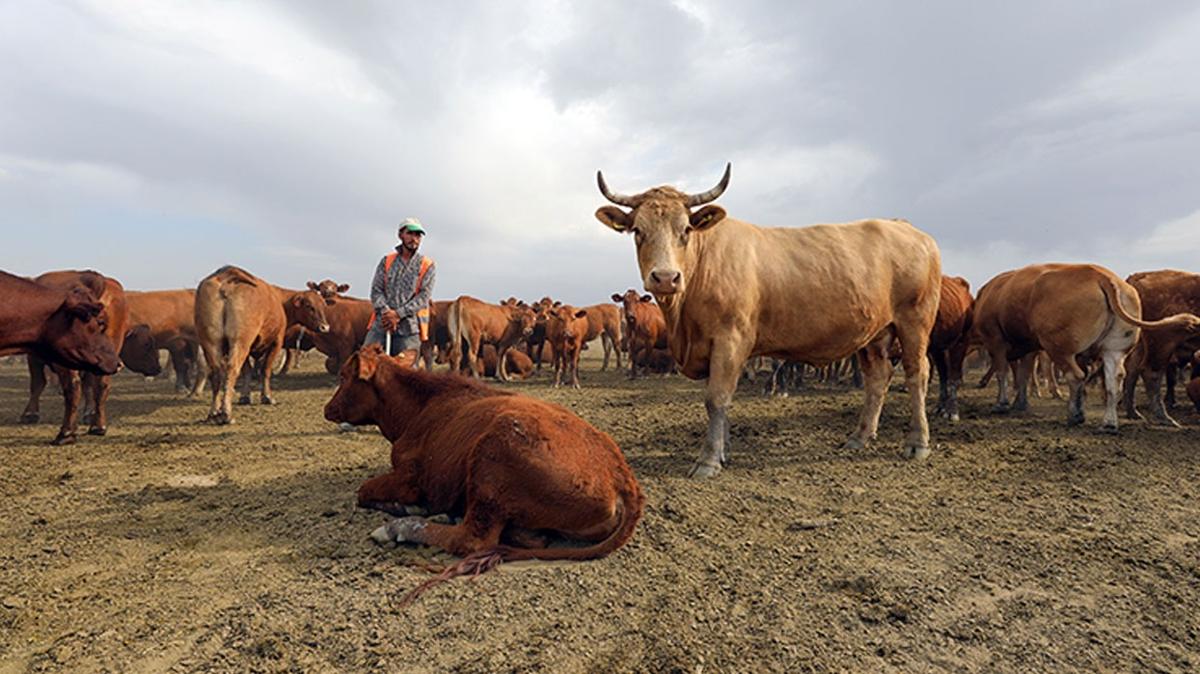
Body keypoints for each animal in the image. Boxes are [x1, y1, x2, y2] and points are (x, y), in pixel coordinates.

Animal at [195, 265, 331, 422]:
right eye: (309, 306)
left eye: (323, 305)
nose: (325, 327)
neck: (280, 301)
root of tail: (226, 277)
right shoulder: (276, 343)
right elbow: (265, 370)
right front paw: (267, 397)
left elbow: (248, 371)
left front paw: (245, 397)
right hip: (240, 342)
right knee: (231, 369)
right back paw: (226, 413)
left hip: (210, 343)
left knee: (216, 373)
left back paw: (214, 412)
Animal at [326, 345, 648, 597]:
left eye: (343, 376)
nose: (327, 409)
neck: (419, 407)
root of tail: (622, 476)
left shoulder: (411, 479)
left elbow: (364, 491)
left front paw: (405, 508)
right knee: (530, 538)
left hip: (492, 461)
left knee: (471, 539)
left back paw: (400, 527)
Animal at [595, 163, 940, 477]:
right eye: (638, 231)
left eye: (686, 230)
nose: (666, 278)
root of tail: (909, 230)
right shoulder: (711, 345)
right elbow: (720, 399)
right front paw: (724, 451)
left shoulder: (731, 340)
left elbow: (716, 398)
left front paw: (708, 461)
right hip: (875, 334)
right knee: (878, 378)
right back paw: (860, 436)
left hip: (914, 323)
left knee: (917, 374)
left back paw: (917, 443)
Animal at [1118, 268, 1200, 422]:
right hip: (1162, 344)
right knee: (1151, 372)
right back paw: (1165, 417)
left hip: (1142, 343)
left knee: (1133, 369)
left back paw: (1133, 412)